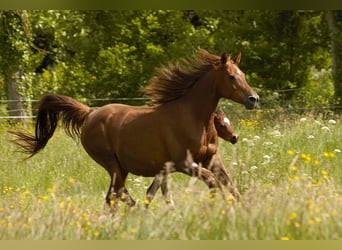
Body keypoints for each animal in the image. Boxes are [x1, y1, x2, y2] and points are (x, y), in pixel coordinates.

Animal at [9, 48, 258, 207]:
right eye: (231, 77)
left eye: (243, 75)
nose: (253, 99)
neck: (195, 118)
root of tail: (90, 113)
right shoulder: (185, 164)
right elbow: (213, 184)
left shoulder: (212, 160)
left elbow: (231, 186)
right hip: (112, 164)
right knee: (117, 194)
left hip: (121, 168)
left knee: (113, 196)